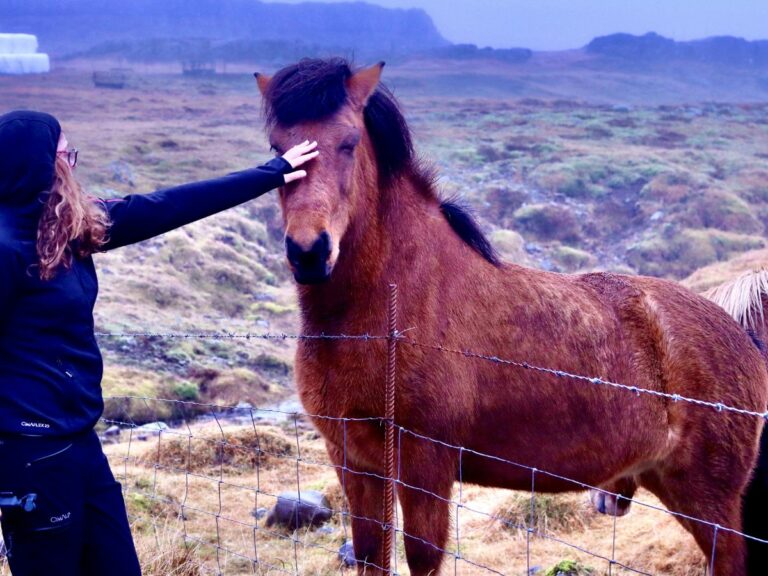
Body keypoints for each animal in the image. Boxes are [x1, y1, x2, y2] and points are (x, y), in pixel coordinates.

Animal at [255, 56, 764, 572]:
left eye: (349, 142)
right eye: (277, 151)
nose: (309, 252)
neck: (392, 307)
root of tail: (739, 333)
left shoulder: (425, 465)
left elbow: (422, 554)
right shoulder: (355, 462)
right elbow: (370, 554)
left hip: (707, 500)